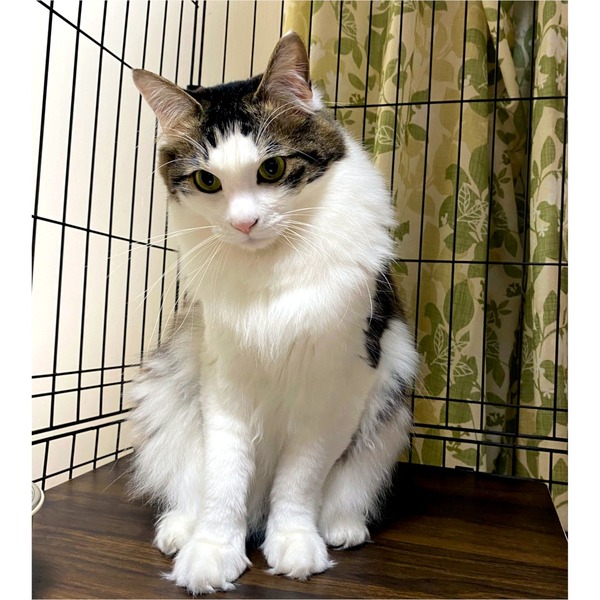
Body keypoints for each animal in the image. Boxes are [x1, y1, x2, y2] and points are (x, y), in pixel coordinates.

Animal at [128, 31, 419, 595]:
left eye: (272, 169)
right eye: (207, 182)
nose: (244, 223)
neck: (272, 274)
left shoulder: (338, 384)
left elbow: (300, 480)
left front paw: (295, 543)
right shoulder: (224, 380)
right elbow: (224, 478)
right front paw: (211, 552)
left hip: (386, 414)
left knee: (343, 491)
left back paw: (341, 528)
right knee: (190, 485)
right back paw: (180, 529)